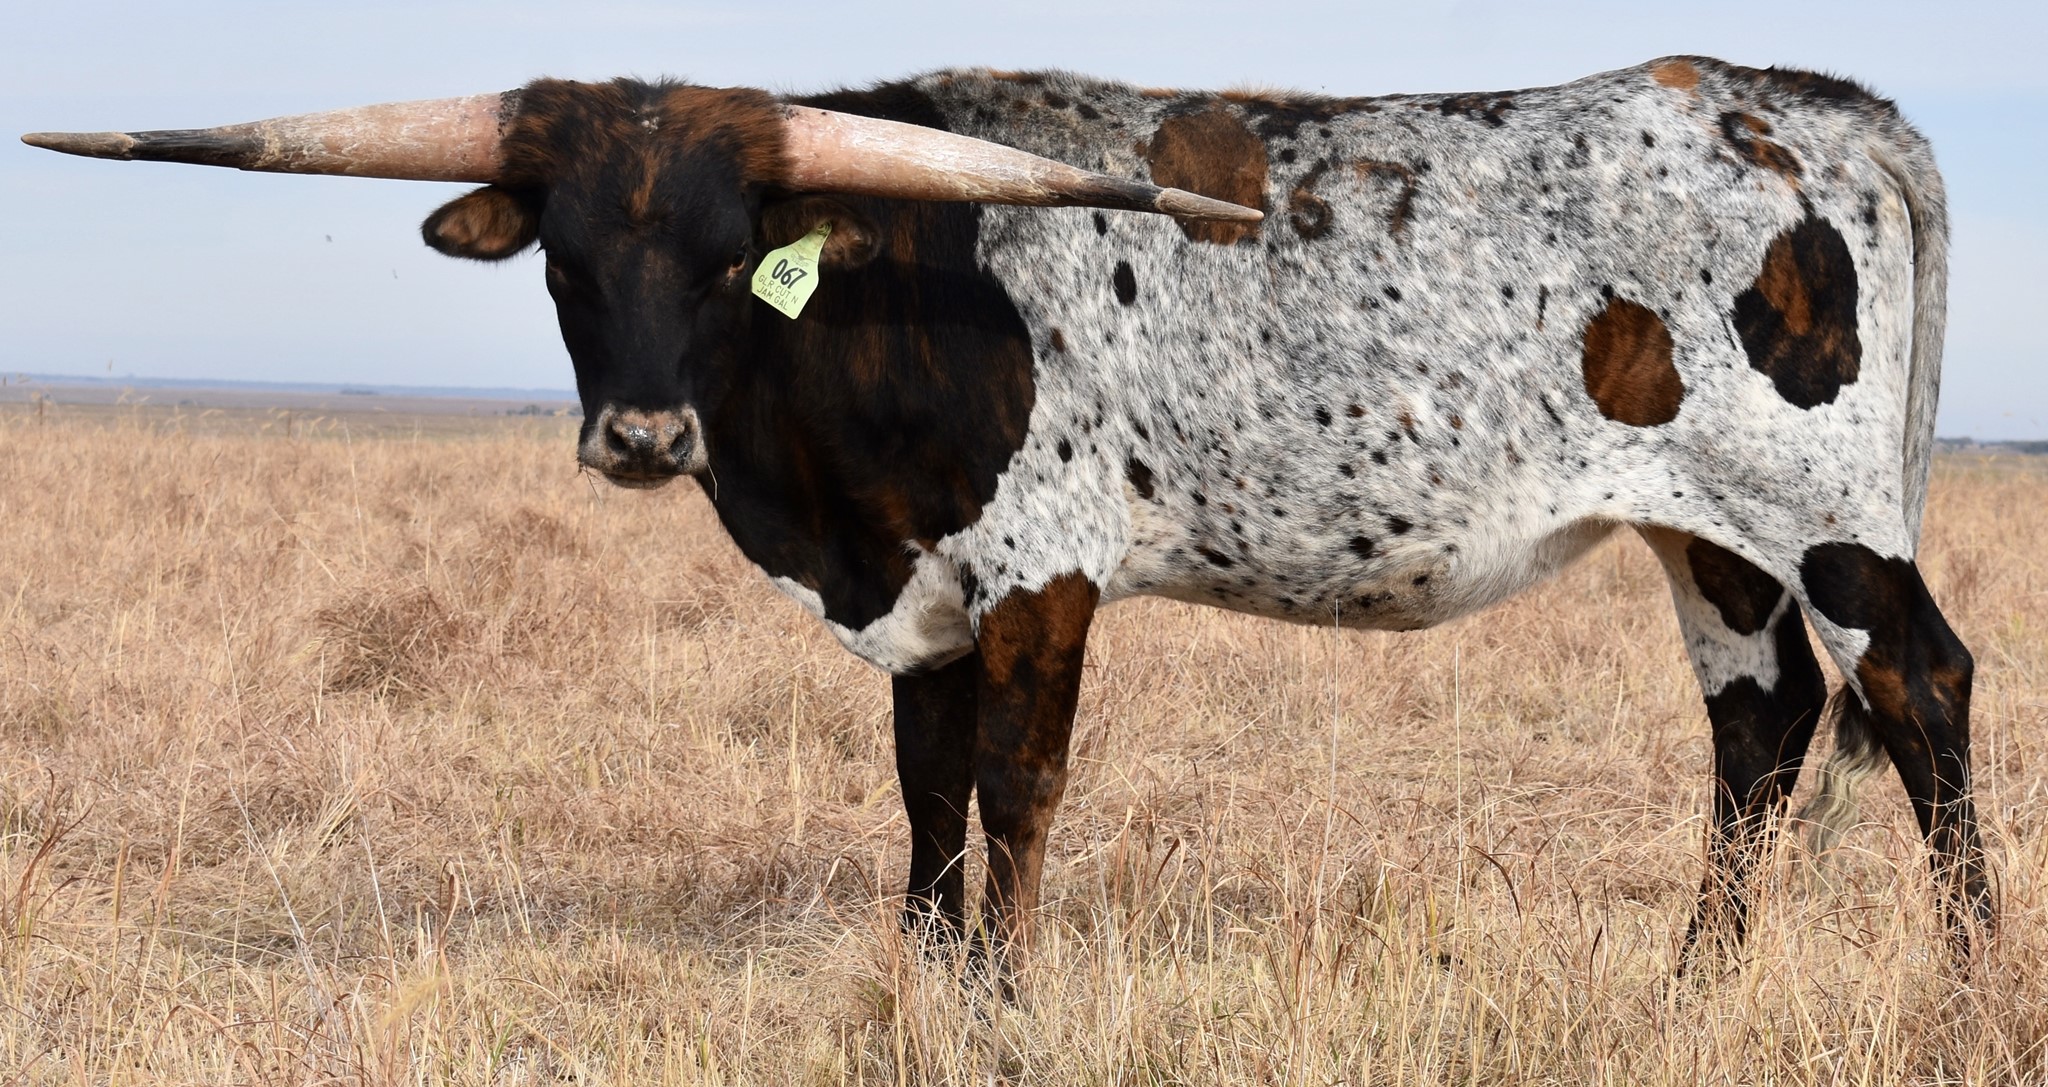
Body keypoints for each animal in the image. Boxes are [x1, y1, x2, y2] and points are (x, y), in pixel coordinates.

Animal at [25, 55, 1989, 971]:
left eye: (731, 253)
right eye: (567, 257)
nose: (643, 433)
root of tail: (1820, 109)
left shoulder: (1045, 570)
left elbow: (1014, 788)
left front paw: (1007, 995)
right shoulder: (918, 591)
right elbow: (918, 791)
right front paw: (927, 972)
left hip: (1826, 516)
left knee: (1921, 691)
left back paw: (1968, 984)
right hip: (1704, 532)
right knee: (1762, 727)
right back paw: (1692, 981)